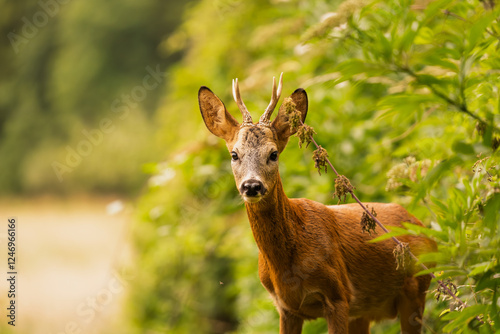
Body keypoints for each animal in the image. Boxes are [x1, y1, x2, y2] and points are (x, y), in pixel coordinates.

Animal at [197, 73, 436, 334]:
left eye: (273, 154)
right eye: (234, 154)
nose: (252, 186)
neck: (286, 267)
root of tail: (426, 230)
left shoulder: (339, 295)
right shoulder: (286, 308)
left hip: (416, 290)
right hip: (364, 312)